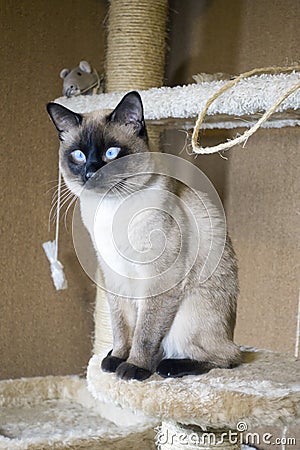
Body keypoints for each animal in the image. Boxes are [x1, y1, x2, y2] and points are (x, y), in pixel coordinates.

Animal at [47, 91, 240, 380]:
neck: (110, 211)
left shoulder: (158, 280)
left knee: (228, 357)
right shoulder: (114, 278)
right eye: (78, 155)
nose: (91, 173)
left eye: (111, 153)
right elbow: (122, 328)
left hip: (187, 317)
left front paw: (134, 367)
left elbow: (144, 333)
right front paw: (117, 359)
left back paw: (167, 367)